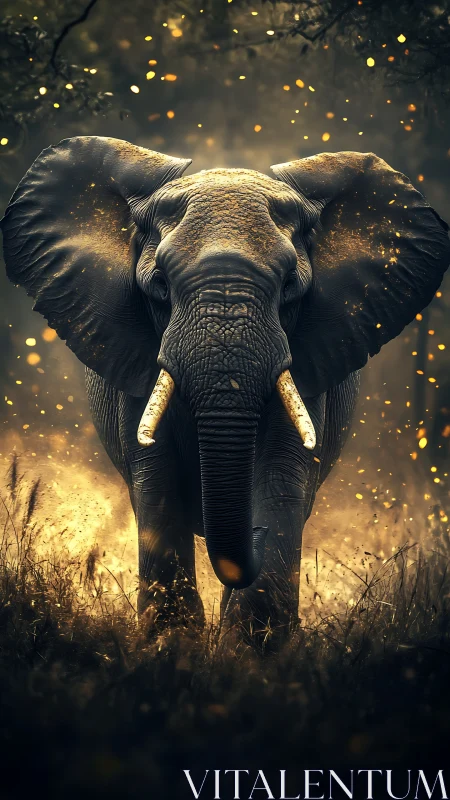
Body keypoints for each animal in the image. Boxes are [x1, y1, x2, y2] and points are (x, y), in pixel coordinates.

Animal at [2, 136, 449, 649]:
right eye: (159, 286)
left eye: (290, 287)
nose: (249, 544)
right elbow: (156, 482)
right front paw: (172, 646)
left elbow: (280, 480)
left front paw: (251, 651)